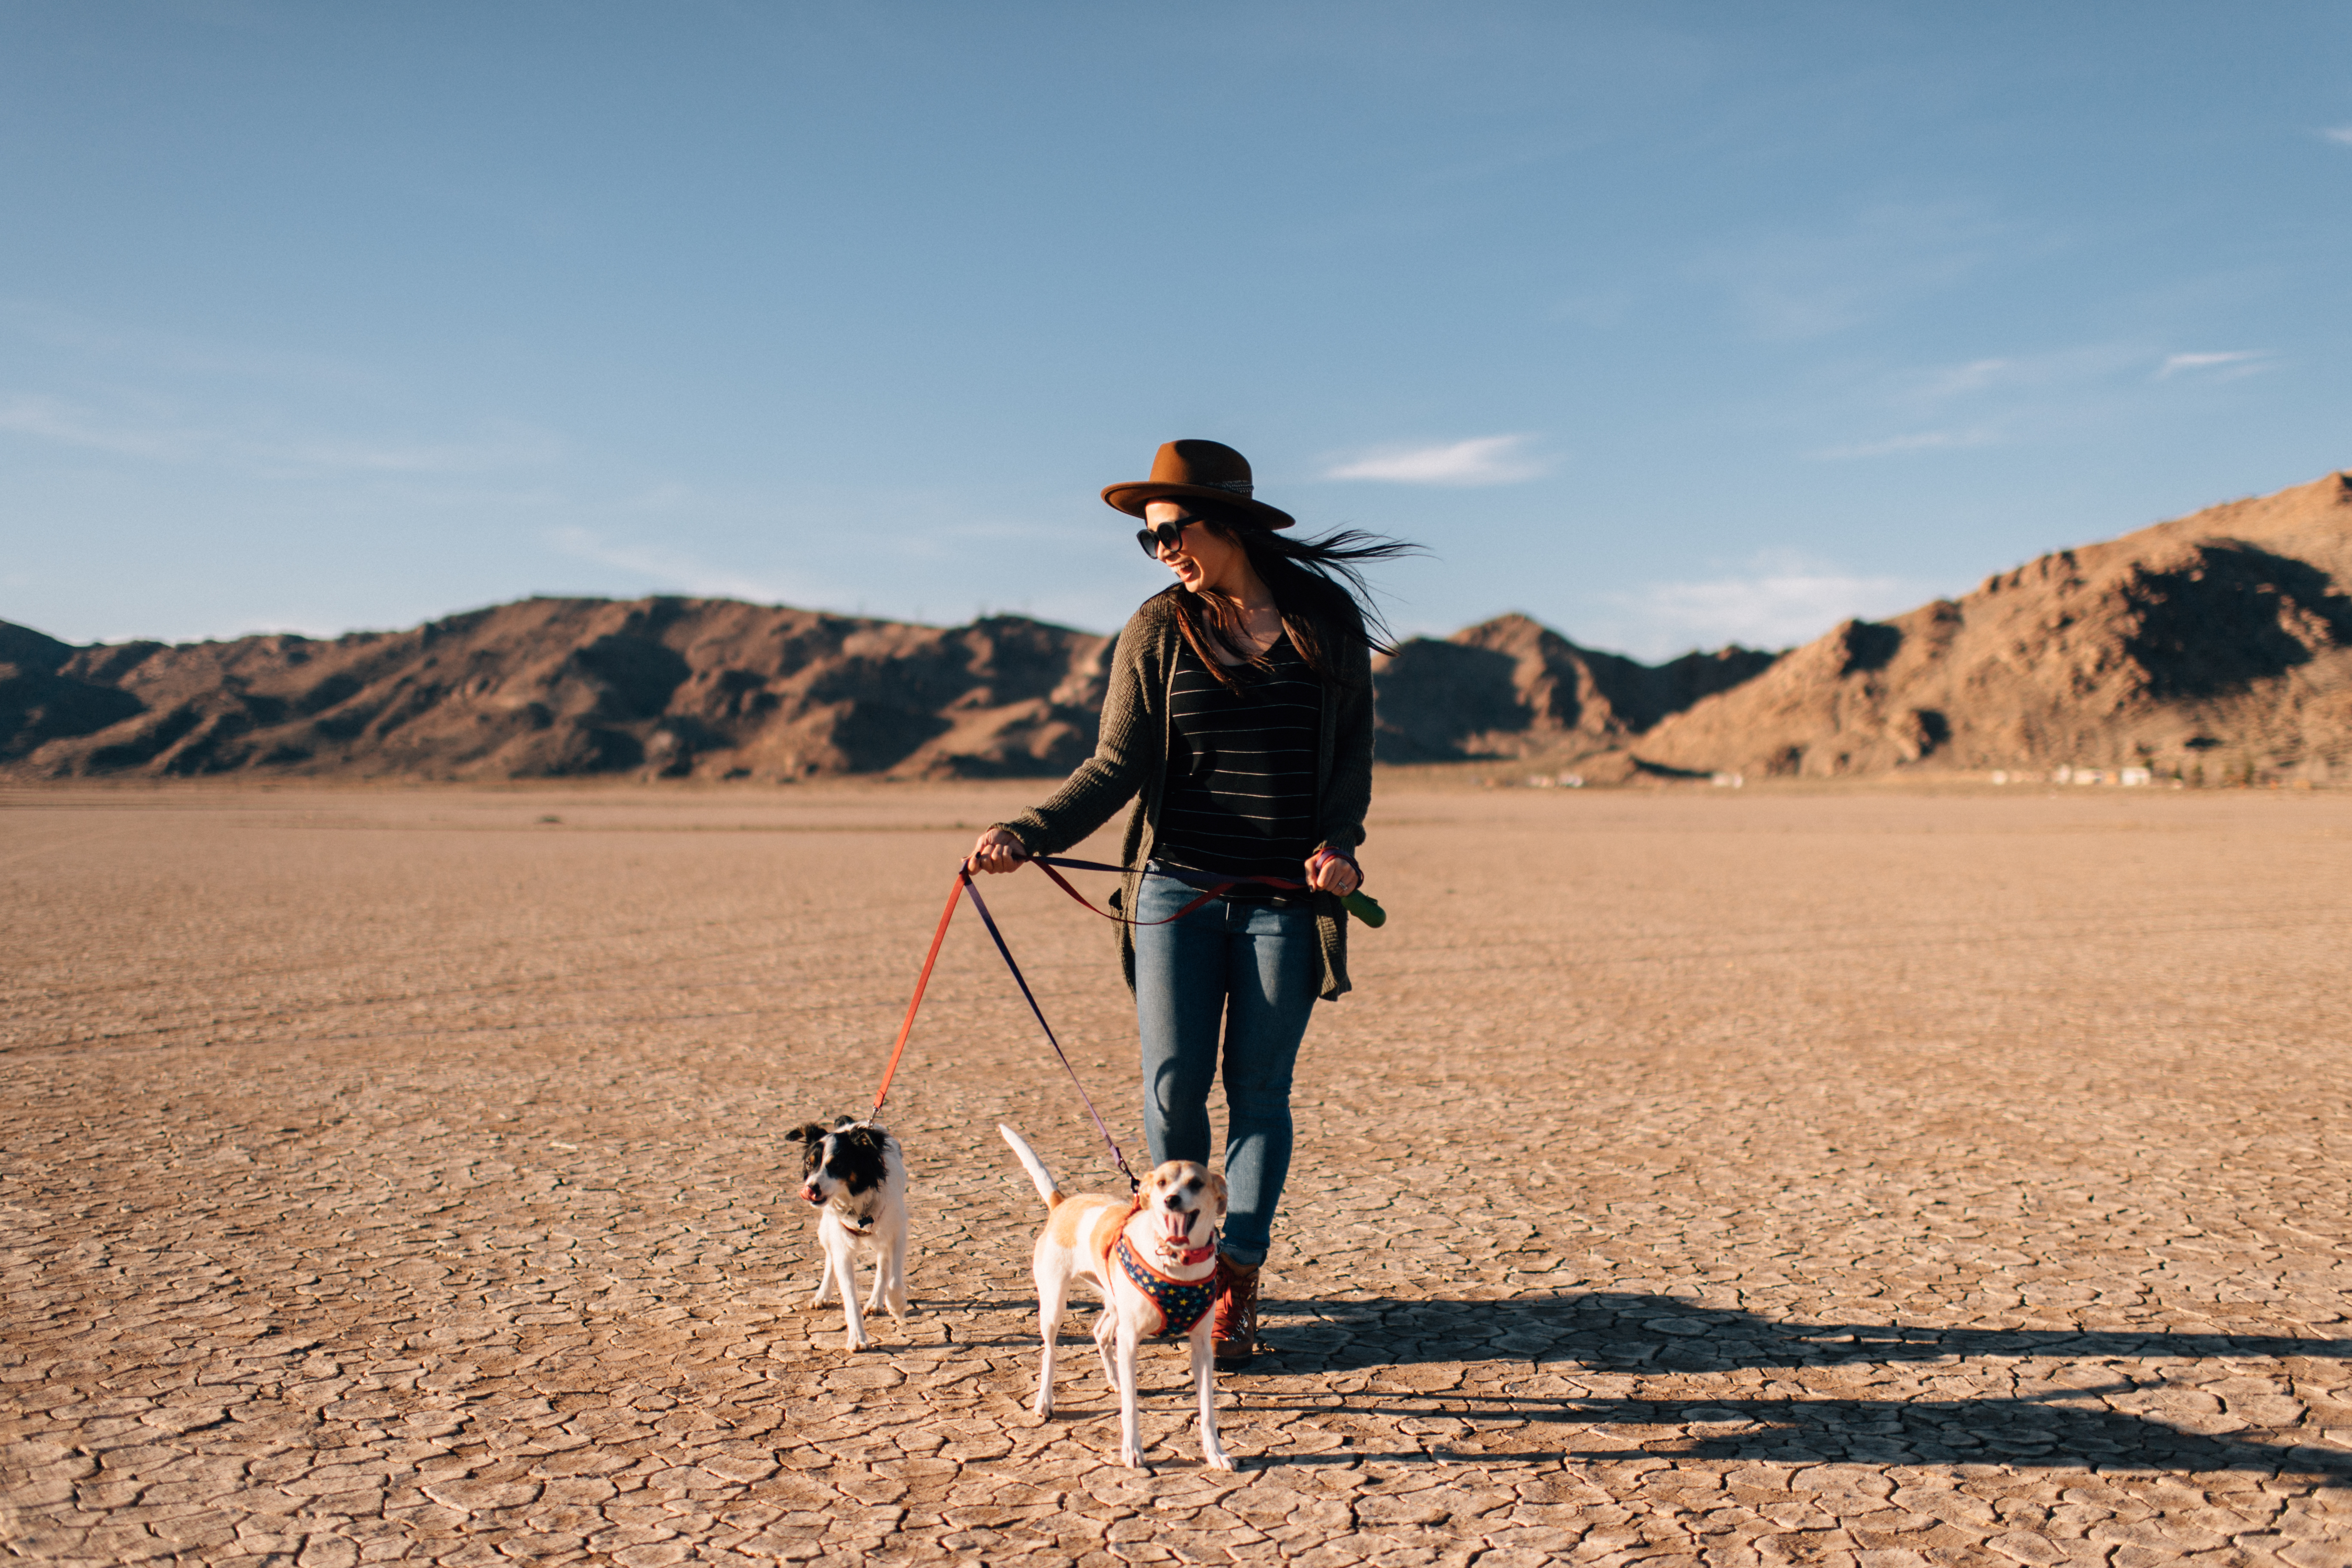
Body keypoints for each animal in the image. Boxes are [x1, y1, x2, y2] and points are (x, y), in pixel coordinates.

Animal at [785, 1114, 903, 1354]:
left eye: (837, 1165)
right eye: (810, 1164)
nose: (811, 1188)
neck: (857, 1202)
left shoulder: (897, 1230)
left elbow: (894, 1277)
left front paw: (896, 1306)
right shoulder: (841, 1243)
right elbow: (849, 1295)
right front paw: (857, 1339)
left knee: (883, 1264)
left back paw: (876, 1302)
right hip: (826, 1229)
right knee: (830, 1258)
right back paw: (822, 1296)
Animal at [997, 1128, 1242, 1476]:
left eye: (1196, 1184)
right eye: (1162, 1183)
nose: (1171, 1200)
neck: (1176, 1262)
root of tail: (1064, 1202)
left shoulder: (1202, 1347)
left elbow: (1208, 1409)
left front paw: (1216, 1454)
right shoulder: (1129, 1340)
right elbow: (1131, 1407)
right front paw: (1133, 1451)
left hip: (1113, 1300)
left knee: (1100, 1332)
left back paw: (1113, 1380)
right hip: (1055, 1304)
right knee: (1050, 1352)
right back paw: (1045, 1401)